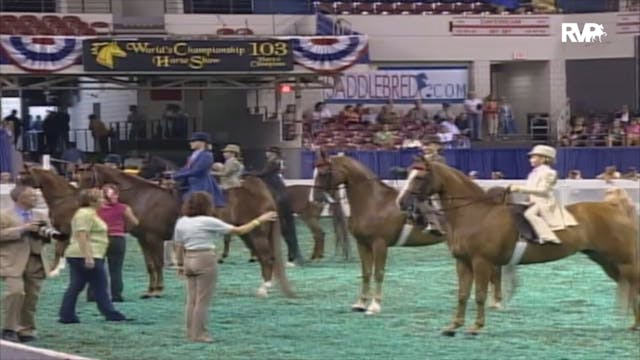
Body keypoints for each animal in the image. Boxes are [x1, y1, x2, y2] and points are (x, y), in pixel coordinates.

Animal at [78, 164, 296, 298]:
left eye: (88, 178)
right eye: (76, 177)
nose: (81, 200)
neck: (143, 197)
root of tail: (263, 192)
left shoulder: (154, 239)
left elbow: (158, 264)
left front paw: (158, 290)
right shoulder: (143, 240)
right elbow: (150, 265)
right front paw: (150, 290)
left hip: (258, 234)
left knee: (267, 259)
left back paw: (264, 289)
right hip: (248, 235)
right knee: (263, 258)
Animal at [312, 152, 502, 316]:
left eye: (323, 173)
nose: (315, 198)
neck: (374, 201)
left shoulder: (379, 244)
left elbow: (378, 273)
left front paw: (374, 305)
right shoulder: (363, 244)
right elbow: (366, 273)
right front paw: (361, 303)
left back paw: (495, 301)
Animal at [402, 158, 636, 334]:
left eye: (420, 177)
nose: (403, 203)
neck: (476, 214)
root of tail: (615, 207)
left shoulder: (481, 262)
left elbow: (479, 294)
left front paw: (476, 326)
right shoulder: (463, 262)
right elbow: (462, 295)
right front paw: (453, 326)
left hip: (622, 261)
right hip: (606, 261)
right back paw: (635, 325)